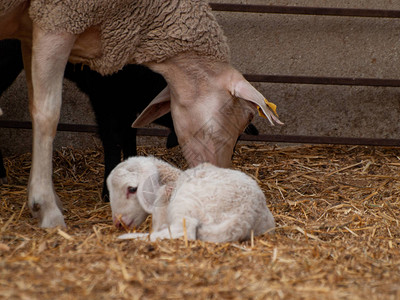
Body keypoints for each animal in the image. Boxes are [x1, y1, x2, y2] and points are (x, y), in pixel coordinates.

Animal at [0, 0, 282, 227]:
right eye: (241, 118)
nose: (221, 183)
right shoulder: (58, 20)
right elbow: (49, 114)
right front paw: (47, 207)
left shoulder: (33, 33)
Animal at [106, 156, 276, 243]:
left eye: (132, 189)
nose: (118, 223)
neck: (173, 181)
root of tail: (245, 215)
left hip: (184, 204)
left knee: (185, 231)